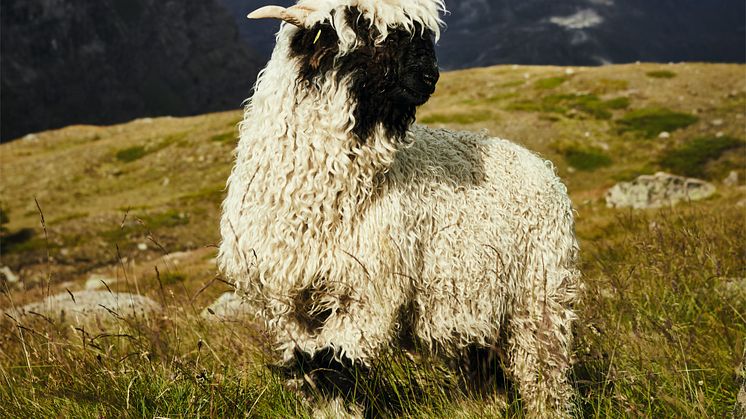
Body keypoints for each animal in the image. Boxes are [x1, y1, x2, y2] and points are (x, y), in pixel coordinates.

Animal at [218, 0, 580, 416]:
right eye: (363, 26)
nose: (429, 76)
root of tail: (541, 165)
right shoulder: (284, 305)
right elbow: (312, 371)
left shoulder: (366, 294)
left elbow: (335, 369)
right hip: (471, 305)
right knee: (482, 371)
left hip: (540, 293)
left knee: (543, 372)